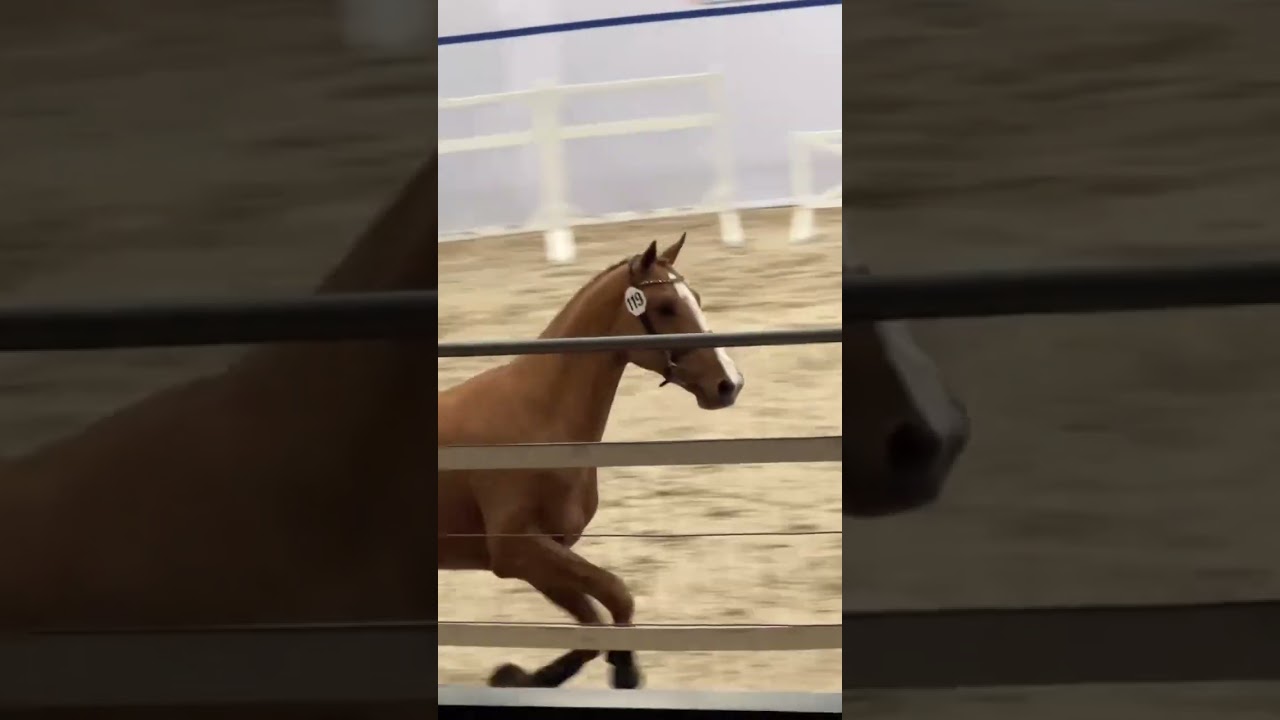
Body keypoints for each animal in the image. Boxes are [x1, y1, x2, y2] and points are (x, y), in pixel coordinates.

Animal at [436, 233, 970, 690]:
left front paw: (521, 676)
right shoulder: (518, 552)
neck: (537, 417)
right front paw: (622, 670)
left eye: (695, 297)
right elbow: (617, 594)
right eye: (666, 307)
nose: (727, 384)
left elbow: (594, 626)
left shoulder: (542, 556)